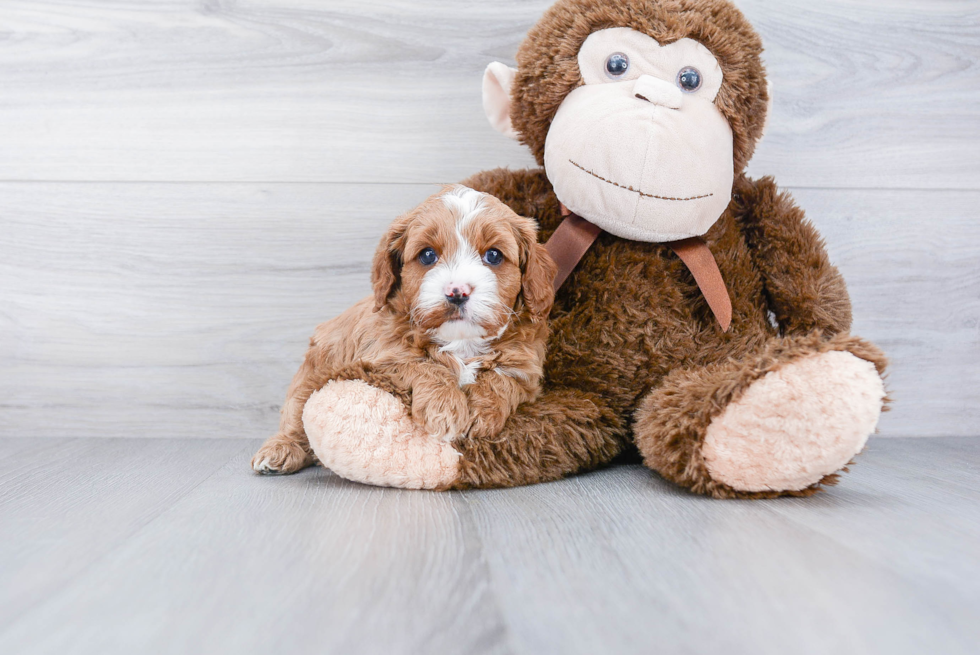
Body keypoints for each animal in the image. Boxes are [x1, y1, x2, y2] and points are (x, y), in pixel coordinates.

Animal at [251, 187, 560, 474]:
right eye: (427, 255)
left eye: (494, 255)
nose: (457, 291)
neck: (461, 342)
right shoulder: (381, 356)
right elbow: (423, 365)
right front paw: (444, 410)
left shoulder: (526, 369)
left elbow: (501, 377)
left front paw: (478, 414)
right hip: (311, 373)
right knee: (295, 414)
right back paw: (279, 450)